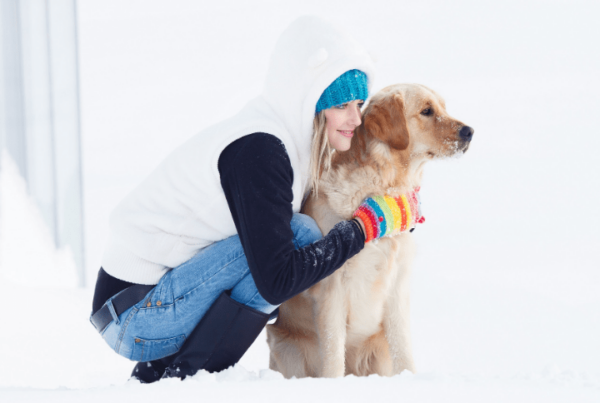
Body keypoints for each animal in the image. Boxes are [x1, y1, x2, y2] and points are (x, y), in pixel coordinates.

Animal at [268, 83, 474, 378]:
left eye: (443, 108)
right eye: (426, 111)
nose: (469, 131)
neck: (382, 185)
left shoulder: (398, 285)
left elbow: (403, 349)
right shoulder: (331, 290)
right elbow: (333, 357)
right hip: (287, 346)